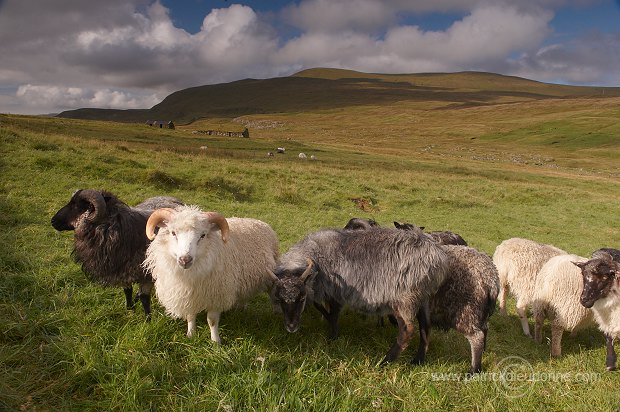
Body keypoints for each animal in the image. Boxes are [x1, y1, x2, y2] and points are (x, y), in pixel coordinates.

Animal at [143, 205, 278, 342]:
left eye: (203, 235)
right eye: (173, 233)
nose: (185, 260)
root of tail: (259, 222)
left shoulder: (216, 295)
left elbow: (212, 320)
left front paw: (215, 341)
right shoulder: (189, 296)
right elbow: (190, 316)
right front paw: (191, 334)